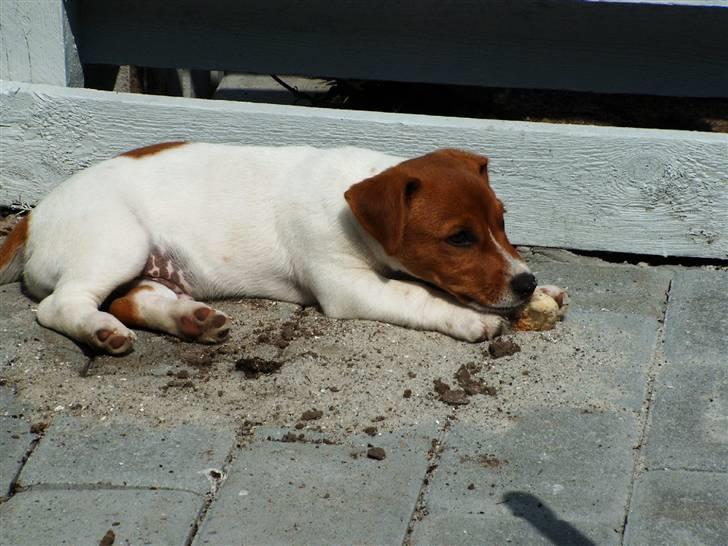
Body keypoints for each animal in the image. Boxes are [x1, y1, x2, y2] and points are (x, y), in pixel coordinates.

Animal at [0, 142, 564, 352]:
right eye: (459, 238)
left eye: (502, 222)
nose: (526, 282)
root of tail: (33, 217)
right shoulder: (347, 287)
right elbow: (418, 295)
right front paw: (469, 318)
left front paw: (544, 294)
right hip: (119, 241)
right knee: (61, 305)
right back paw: (100, 332)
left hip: (151, 265)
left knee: (133, 298)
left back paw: (192, 320)